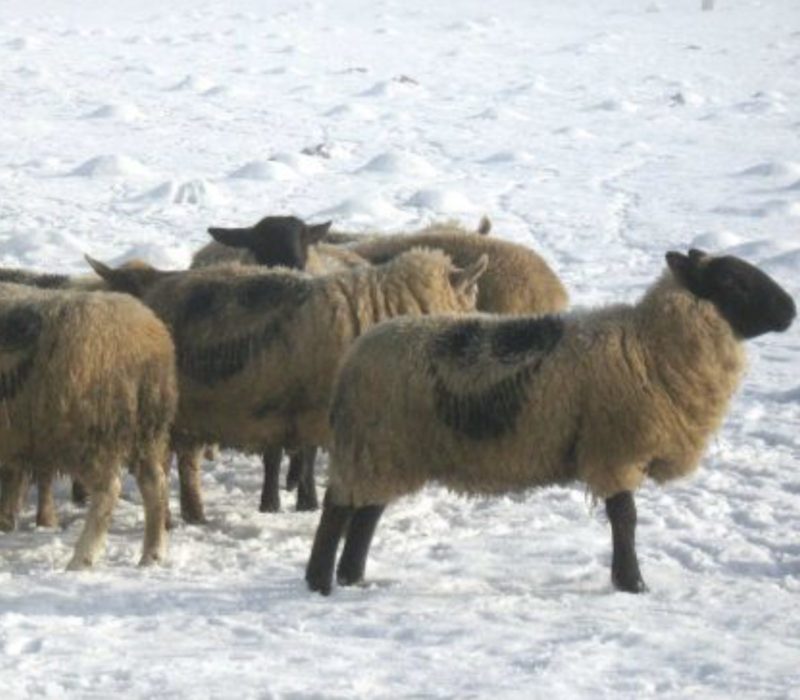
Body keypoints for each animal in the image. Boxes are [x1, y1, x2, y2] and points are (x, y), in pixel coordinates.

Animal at [0, 283, 177, 569]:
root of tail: (144, 343)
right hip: (146, 432)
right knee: (155, 485)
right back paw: (152, 554)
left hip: (87, 433)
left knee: (109, 490)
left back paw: (82, 558)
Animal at [86, 248, 489, 525]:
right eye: (471, 296)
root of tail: (146, 288)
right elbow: (288, 458)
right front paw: (287, 503)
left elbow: (299, 457)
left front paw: (299, 502)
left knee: (184, 463)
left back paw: (194, 514)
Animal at [305, 249, 796, 596]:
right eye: (732, 280)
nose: (791, 308)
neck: (646, 346)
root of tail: (352, 360)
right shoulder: (612, 448)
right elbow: (626, 518)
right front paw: (632, 584)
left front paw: (627, 581)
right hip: (373, 445)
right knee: (338, 510)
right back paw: (321, 583)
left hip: (388, 449)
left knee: (367, 513)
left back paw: (354, 578)